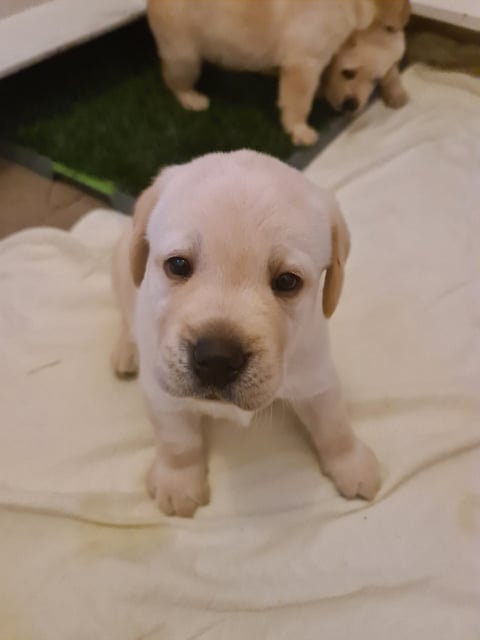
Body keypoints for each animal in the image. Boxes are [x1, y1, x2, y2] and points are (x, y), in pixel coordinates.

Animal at [110, 151, 380, 520]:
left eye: (287, 281)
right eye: (178, 265)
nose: (216, 359)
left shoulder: (316, 377)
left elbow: (333, 423)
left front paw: (351, 464)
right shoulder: (162, 392)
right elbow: (178, 441)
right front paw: (179, 484)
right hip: (122, 270)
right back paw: (126, 350)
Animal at [146, 0, 408, 146]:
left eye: (375, 80)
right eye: (348, 73)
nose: (352, 105)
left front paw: (395, 89)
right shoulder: (304, 63)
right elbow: (299, 102)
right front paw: (300, 130)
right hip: (185, 56)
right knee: (171, 77)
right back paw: (192, 99)